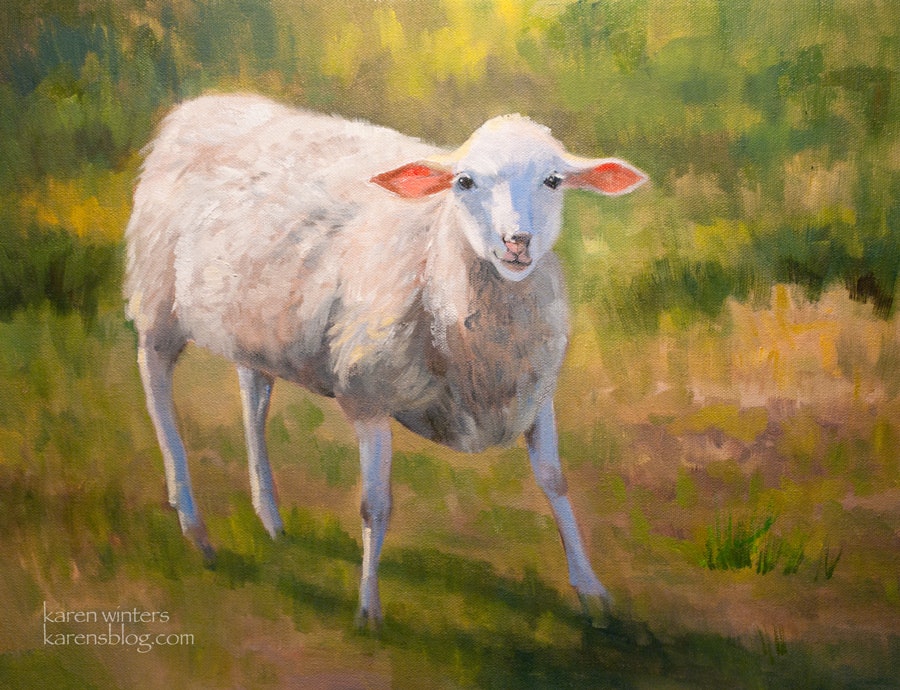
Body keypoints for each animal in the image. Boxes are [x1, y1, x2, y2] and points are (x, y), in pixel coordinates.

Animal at [124, 93, 647, 627]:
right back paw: (193, 524)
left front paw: (592, 590)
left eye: (553, 180)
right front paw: (368, 608)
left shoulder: (535, 392)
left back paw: (269, 517)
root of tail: (202, 104)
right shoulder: (366, 396)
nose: (516, 242)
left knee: (254, 397)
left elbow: (555, 483)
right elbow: (375, 505)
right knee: (156, 385)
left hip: (252, 322)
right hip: (157, 296)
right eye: (464, 182)